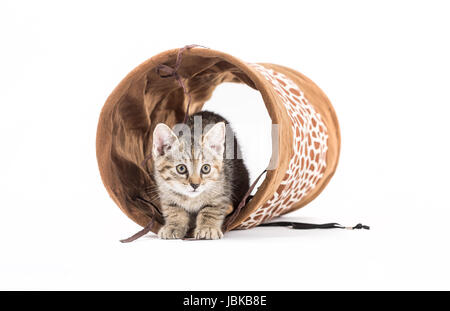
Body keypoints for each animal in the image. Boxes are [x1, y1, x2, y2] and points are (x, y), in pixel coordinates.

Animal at [151, 111, 250, 240]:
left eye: (206, 168)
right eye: (181, 168)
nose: (195, 185)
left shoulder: (221, 190)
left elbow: (211, 210)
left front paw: (207, 228)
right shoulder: (165, 191)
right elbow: (174, 209)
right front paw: (173, 226)